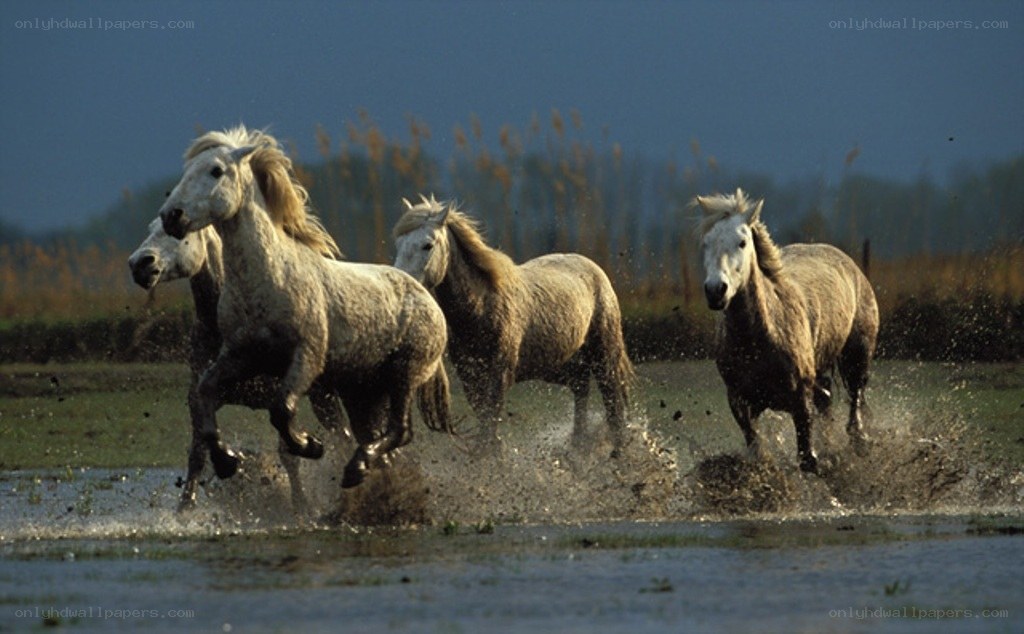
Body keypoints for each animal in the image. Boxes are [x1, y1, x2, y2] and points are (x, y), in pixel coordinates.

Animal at [128, 218, 350, 512]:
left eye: (177, 231)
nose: (139, 263)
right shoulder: (199, 397)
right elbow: (198, 453)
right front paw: (185, 509)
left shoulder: (280, 396)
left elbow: (289, 454)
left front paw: (301, 506)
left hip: (323, 396)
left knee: (343, 437)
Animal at [159, 125, 451, 489]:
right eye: (187, 171)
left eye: (216, 170)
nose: (171, 216)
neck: (268, 280)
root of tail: (426, 297)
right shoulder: (239, 355)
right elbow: (204, 393)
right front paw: (226, 461)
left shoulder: (306, 358)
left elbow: (281, 410)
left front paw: (310, 445)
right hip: (364, 390)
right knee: (379, 434)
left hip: (405, 374)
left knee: (400, 431)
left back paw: (356, 469)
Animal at [392, 195, 632, 455]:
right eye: (399, 243)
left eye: (428, 245)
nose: (401, 284)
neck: (482, 307)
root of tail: (594, 270)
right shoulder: (470, 377)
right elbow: (485, 423)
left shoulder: (499, 375)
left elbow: (490, 423)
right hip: (560, 365)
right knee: (581, 390)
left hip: (603, 355)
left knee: (612, 401)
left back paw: (617, 453)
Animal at [695, 188, 878, 473]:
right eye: (706, 243)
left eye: (742, 242)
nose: (716, 290)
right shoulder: (740, 403)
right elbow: (759, 454)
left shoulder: (800, 399)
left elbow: (807, 460)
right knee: (827, 401)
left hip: (857, 355)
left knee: (855, 396)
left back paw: (859, 440)